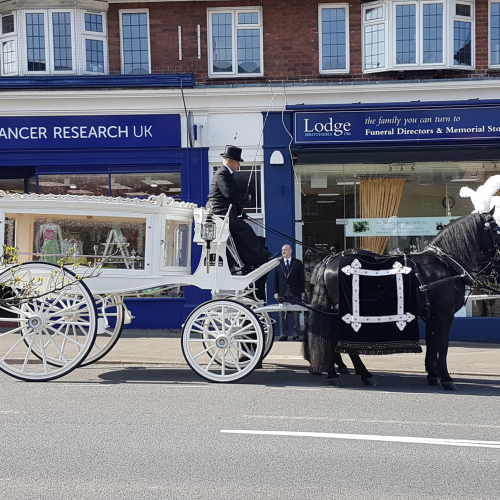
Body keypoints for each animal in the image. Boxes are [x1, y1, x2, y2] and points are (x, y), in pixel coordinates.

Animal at [302, 211, 500, 390]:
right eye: (496, 229)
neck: (445, 263)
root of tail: (331, 259)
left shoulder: (431, 315)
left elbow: (432, 343)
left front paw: (433, 374)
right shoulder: (445, 314)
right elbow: (443, 345)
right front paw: (446, 378)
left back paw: (354, 374)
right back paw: (344, 374)